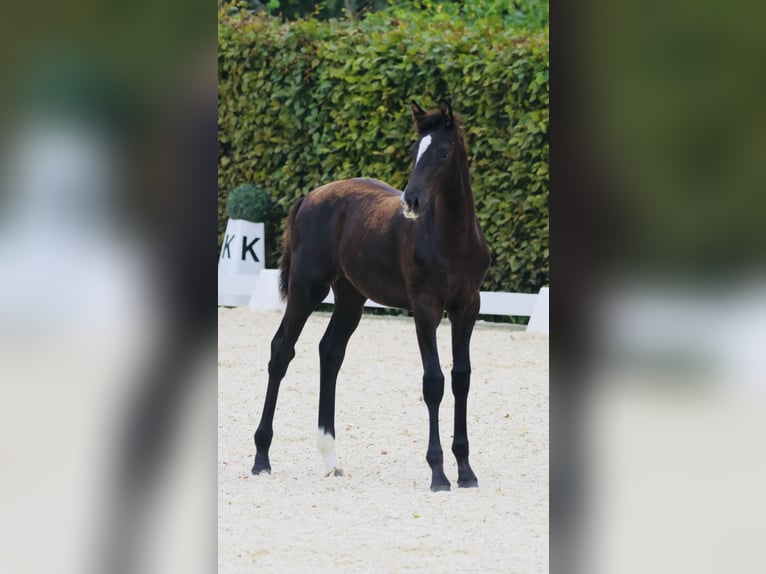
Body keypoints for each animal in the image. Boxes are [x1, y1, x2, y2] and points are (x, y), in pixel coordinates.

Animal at [251, 100, 491, 491]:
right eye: (414, 150)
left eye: (442, 152)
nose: (412, 201)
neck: (452, 238)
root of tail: (309, 197)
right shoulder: (425, 308)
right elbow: (434, 382)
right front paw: (438, 473)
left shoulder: (467, 307)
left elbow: (461, 378)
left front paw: (466, 471)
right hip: (307, 288)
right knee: (281, 350)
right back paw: (261, 457)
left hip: (350, 297)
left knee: (330, 351)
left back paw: (330, 459)